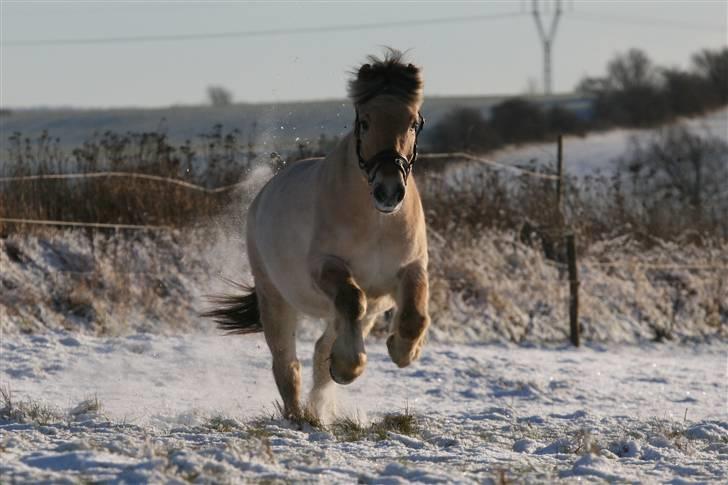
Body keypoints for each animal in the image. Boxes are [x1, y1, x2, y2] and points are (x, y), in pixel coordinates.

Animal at [205, 49, 430, 420]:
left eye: (413, 123)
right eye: (365, 122)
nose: (389, 191)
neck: (377, 222)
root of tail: (264, 193)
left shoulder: (410, 269)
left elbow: (415, 316)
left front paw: (400, 350)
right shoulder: (327, 268)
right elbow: (352, 299)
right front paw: (348, 367)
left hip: (361, 310)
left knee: (322, 348)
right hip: (275, 299)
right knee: (287, 363)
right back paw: (298, 417)